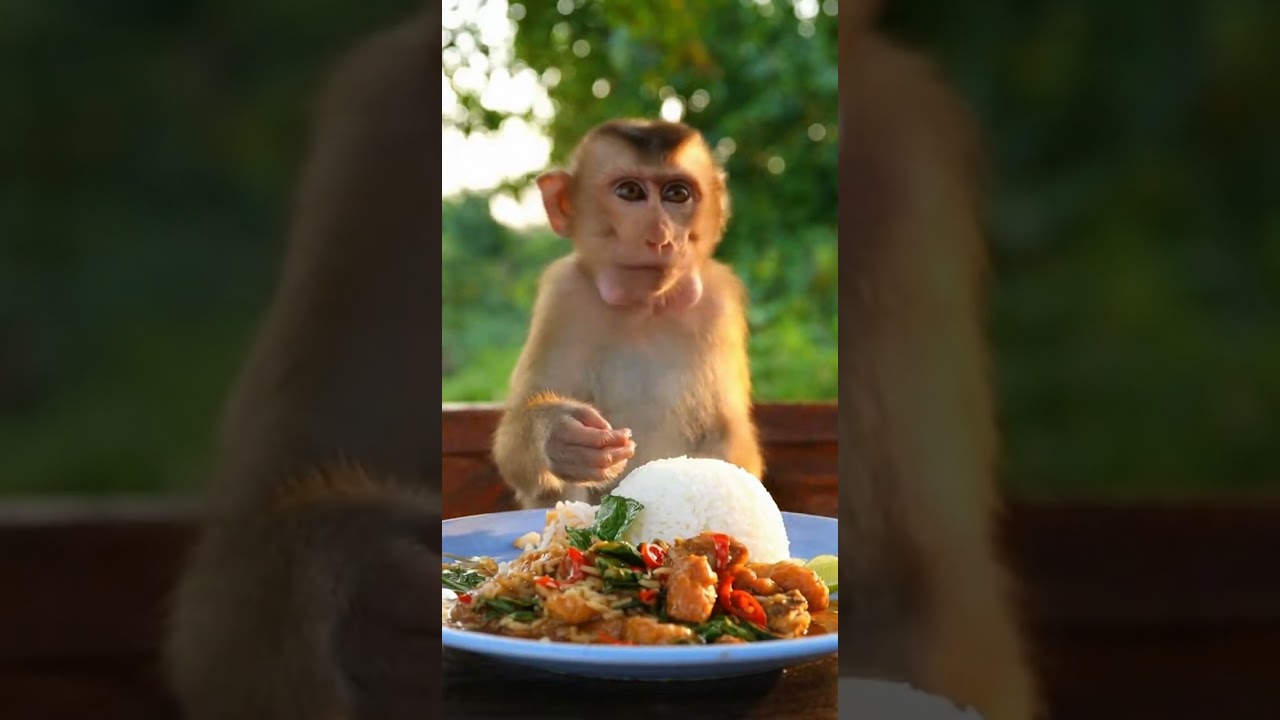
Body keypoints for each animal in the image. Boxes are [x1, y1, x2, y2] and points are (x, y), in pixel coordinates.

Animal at [490, 118, 765, 510]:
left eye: (677, 194)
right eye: (630, 192)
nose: (661, 237)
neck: (644, 307)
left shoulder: (719, 303)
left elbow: (724, 429)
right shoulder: (563, 297)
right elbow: (519, 434)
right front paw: (561, 436)